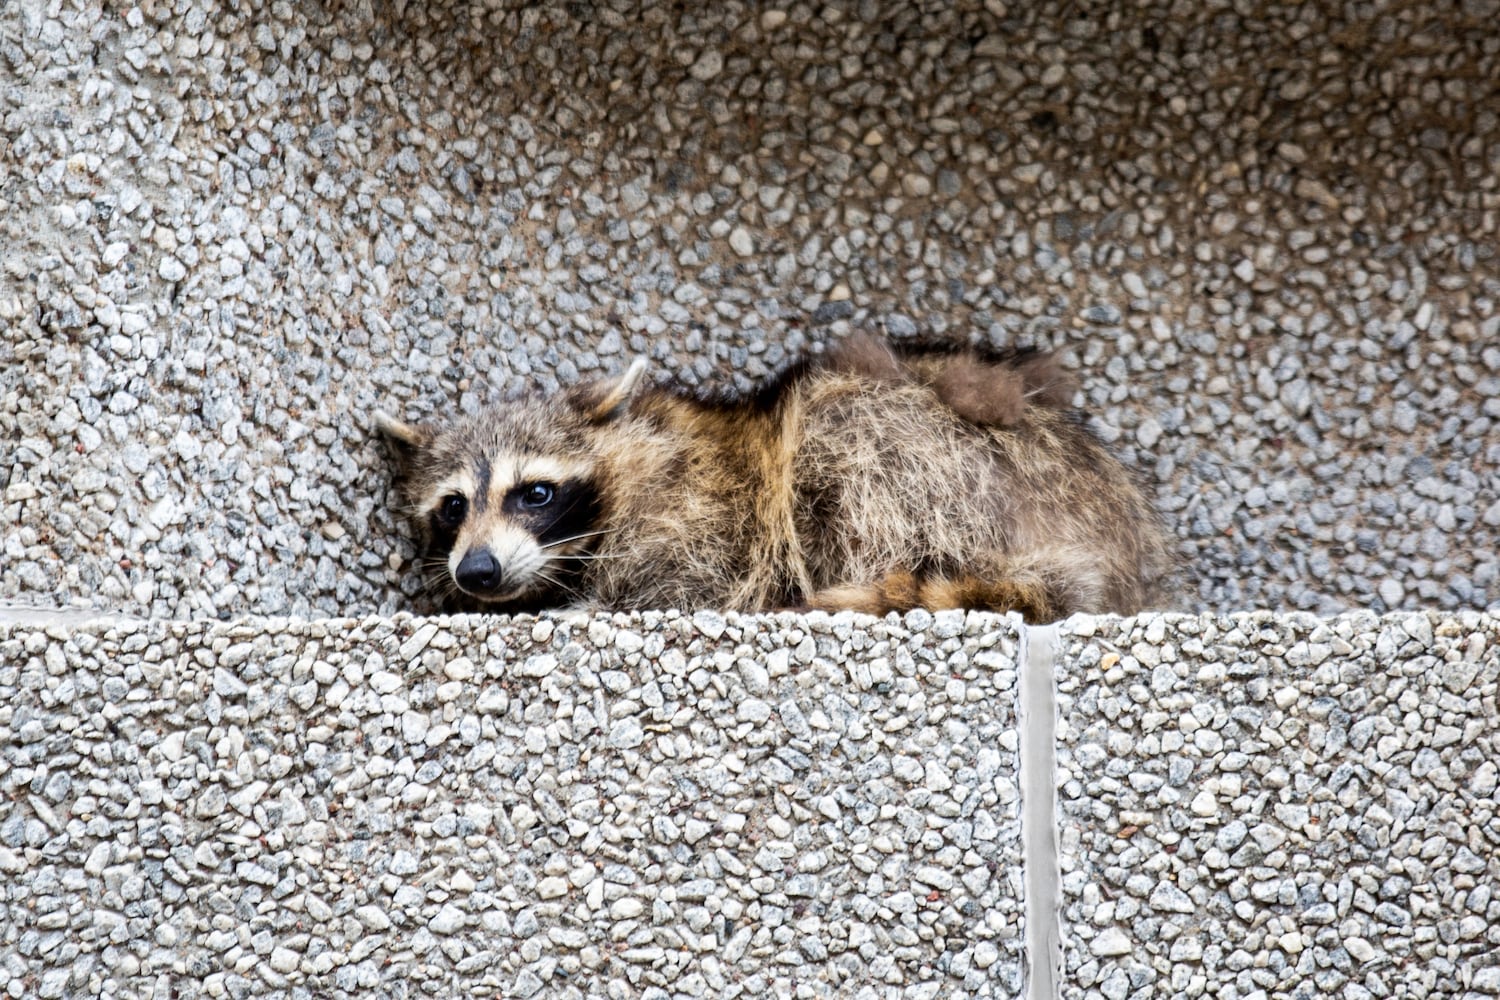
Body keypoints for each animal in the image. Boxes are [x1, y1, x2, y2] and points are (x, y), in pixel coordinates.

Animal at [375, 335, 1170, 620]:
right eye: (452, 507)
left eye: (534, 493)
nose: (477, 571)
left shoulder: (700, 519)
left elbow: (684, 585)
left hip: (932, 460)